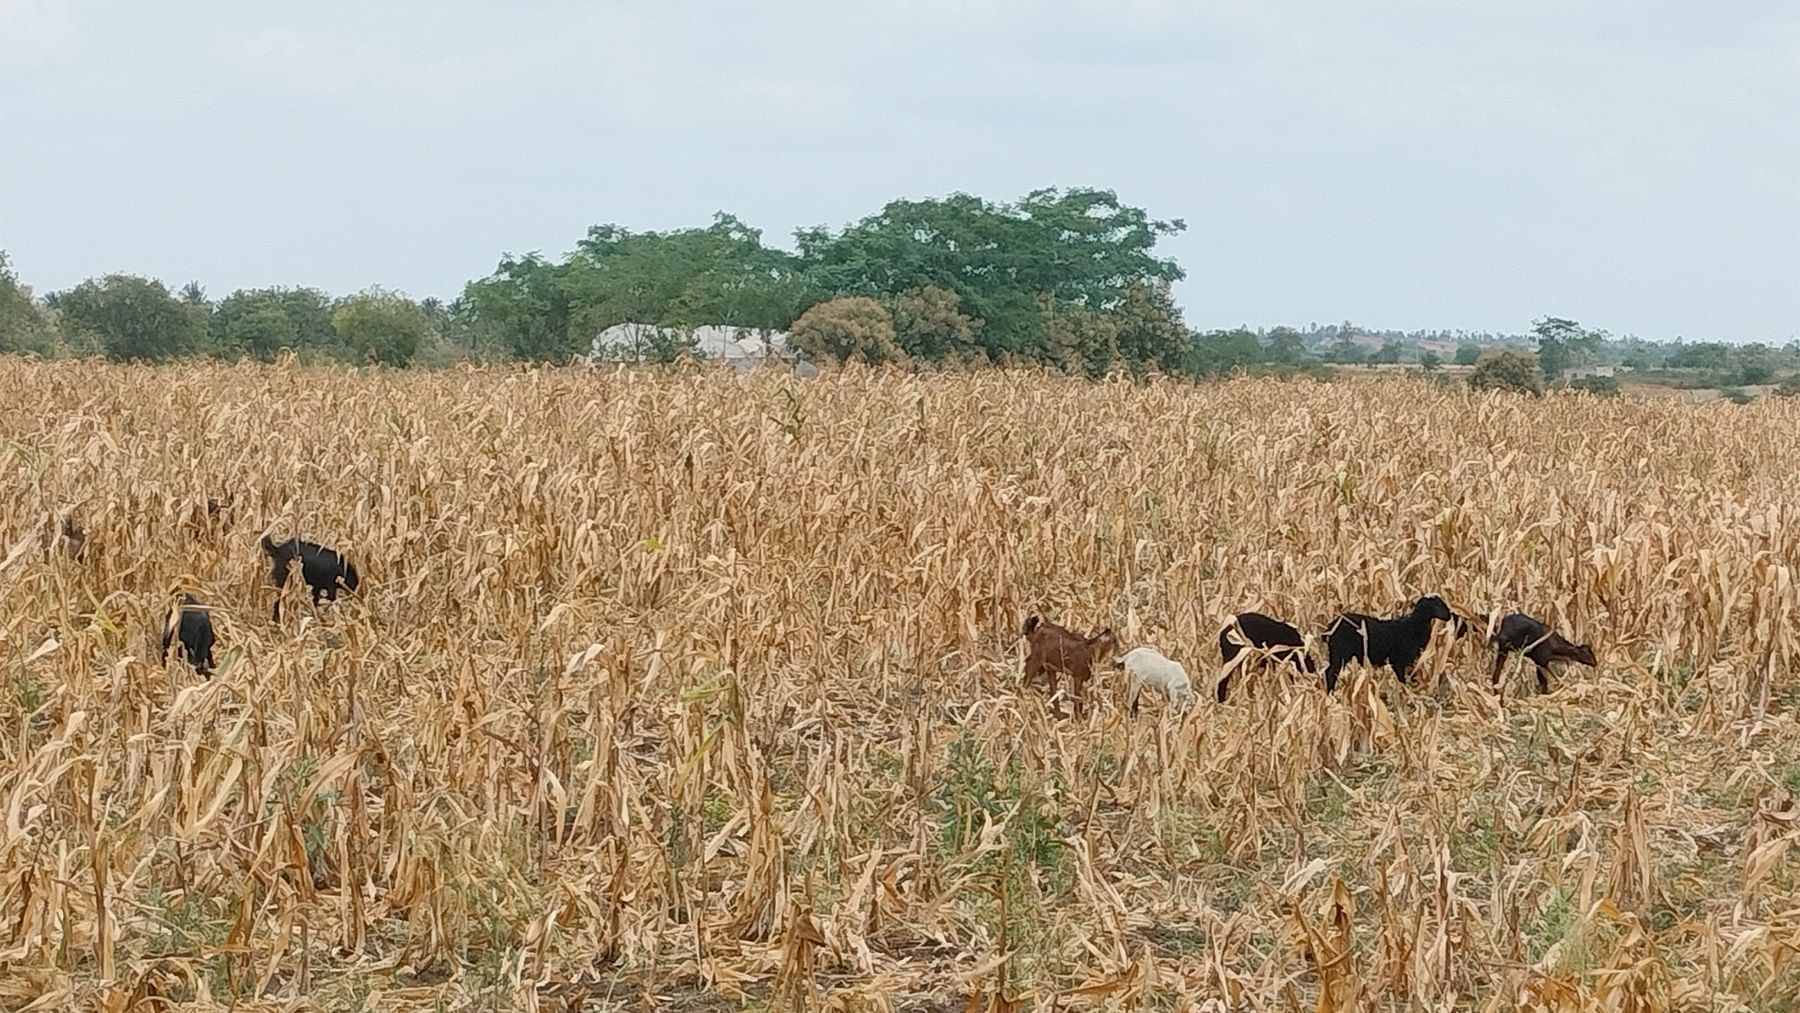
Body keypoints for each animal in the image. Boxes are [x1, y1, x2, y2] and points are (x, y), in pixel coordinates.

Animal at [1324, 597, 1461, 694]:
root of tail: (1331, 627)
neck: (1412, 628)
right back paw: (1330, 695)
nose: (1449, 615)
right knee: (1330, 672)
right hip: (1339, 652)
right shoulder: (1398, 661)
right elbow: (1403, 681)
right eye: (1437, 605)